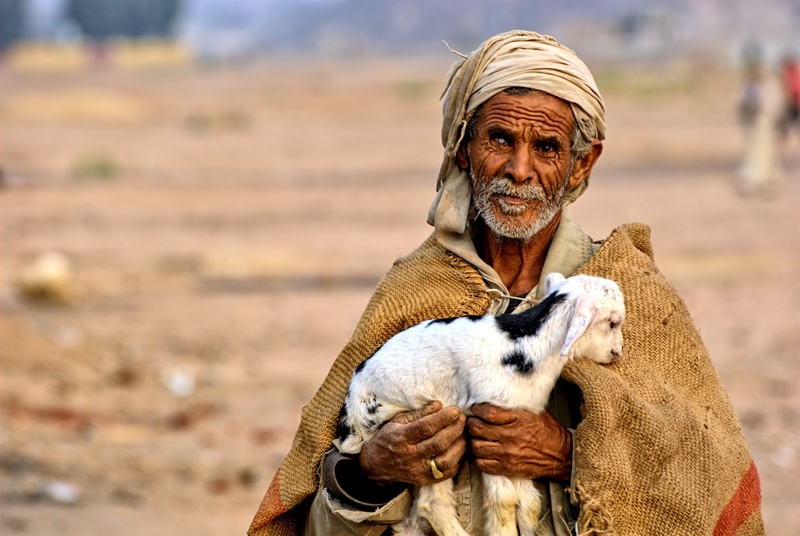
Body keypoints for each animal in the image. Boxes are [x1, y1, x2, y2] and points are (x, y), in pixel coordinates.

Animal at [337, 272, 625, 536]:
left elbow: (529, 502)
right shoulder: (489, 418)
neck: (526, 345)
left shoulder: (516, 433)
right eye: (612, 323)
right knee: (434, 504)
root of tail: (350, 417)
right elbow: (505, 501)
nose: (618, 352)